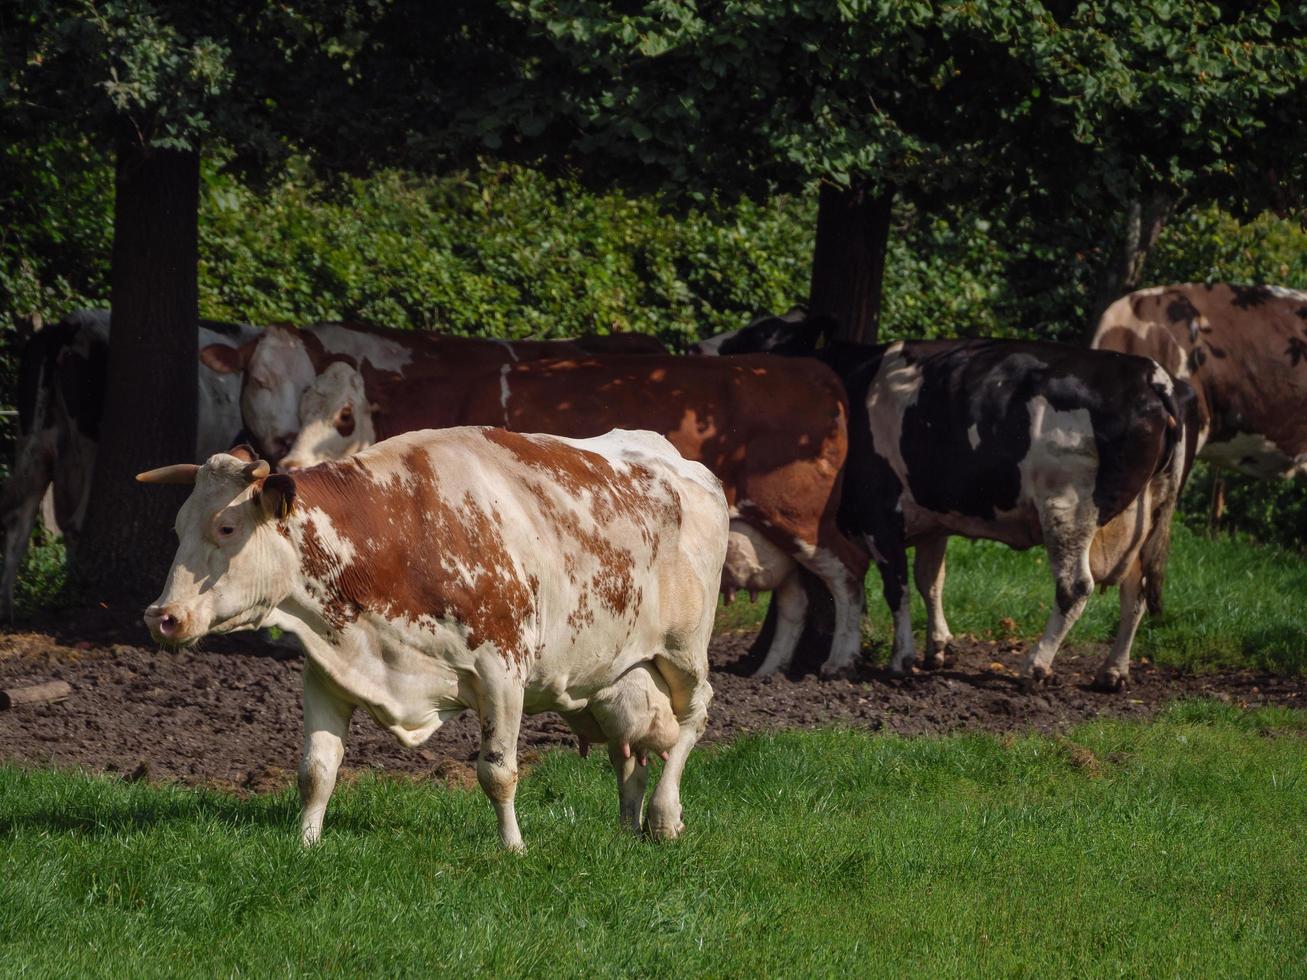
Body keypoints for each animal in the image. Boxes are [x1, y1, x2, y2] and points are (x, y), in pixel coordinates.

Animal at [139, 428, 731, 851]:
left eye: (226, 528)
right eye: (176, 527)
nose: (160, 616)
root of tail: (688, 466)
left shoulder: (503, 671)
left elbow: (498, 772)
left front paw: (513, 848)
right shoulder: (329, 670)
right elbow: (316, 770)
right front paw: (305, 844)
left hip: (684, 651)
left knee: (693, 718)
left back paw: (664, 815)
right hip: (617, 679)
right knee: (627, 752)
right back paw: (628, 825)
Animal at [700, 318, 1197, 695]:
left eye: (765, 333)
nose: (699, 346)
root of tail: (1149, 374)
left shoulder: (881, 514)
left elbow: (896, 586)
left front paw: (902, 657)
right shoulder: (931, 520)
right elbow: (930, 580)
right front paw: (938, 647)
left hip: (1068, 508)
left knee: (1074, 587)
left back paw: (1034, 666)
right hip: (1142, 514)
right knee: (1136, 587)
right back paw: (1113, 671)